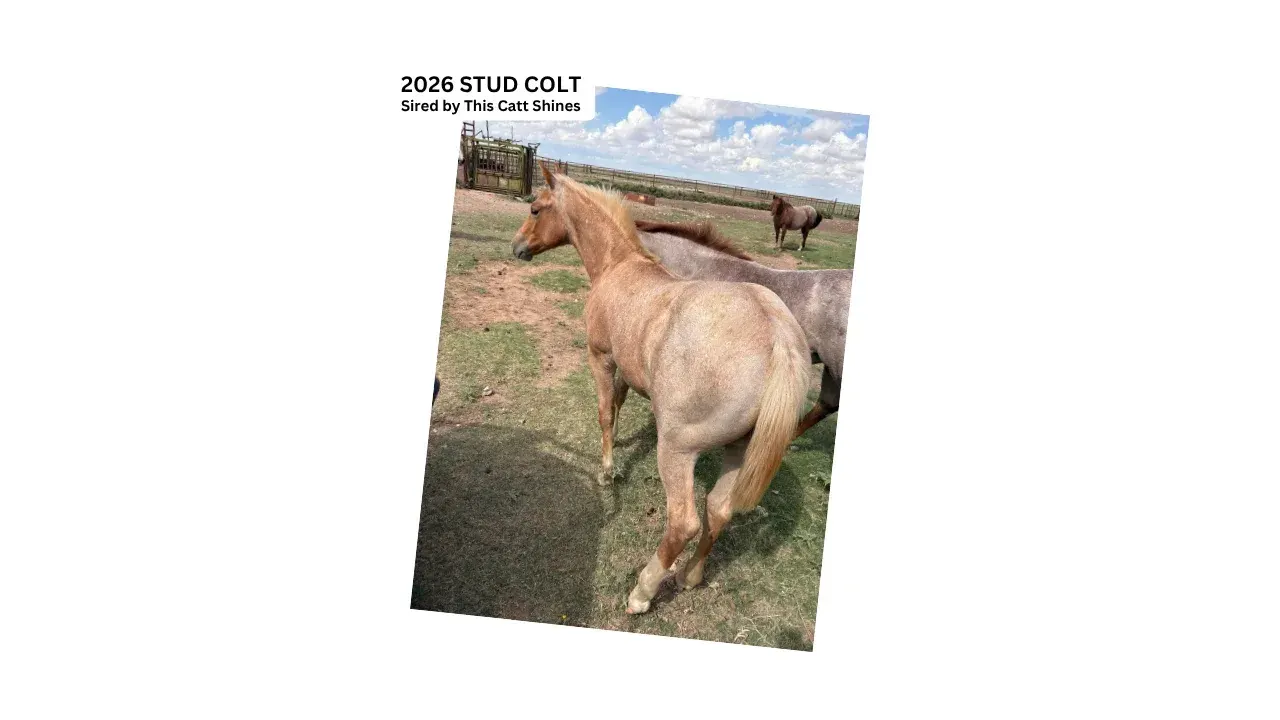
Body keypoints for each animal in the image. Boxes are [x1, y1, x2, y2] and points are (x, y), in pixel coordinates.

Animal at [512, 164, 811, 614]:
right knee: (718, 511)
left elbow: (605, 412)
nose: (517, 247)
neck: (619, 265)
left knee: (684, 522)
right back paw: (689, 576)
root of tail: (778, 335)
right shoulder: (626, 368)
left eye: (535, 208)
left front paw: (607, 471)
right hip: (738, 450)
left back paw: (642, 592)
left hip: (676, 450)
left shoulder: (601, 357)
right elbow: (618, 404)